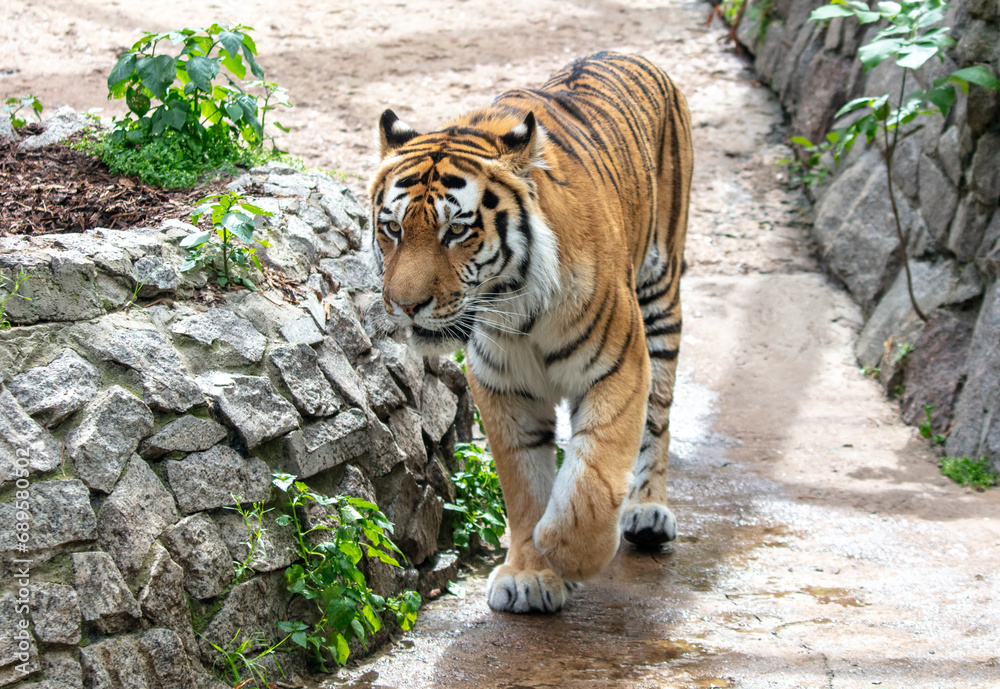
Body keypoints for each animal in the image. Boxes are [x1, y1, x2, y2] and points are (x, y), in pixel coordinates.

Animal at [368, 51, 693, 613]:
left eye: (457, 231)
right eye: (393, 228)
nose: (406, 306)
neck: (517, 309)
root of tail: (629, 53)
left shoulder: (621, 367)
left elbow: (594, 473)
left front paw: (570, 554)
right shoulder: (503, 387)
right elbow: (524, 485)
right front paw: (529, 573)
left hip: (660, 295)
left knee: (658, 417)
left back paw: (647, 512)